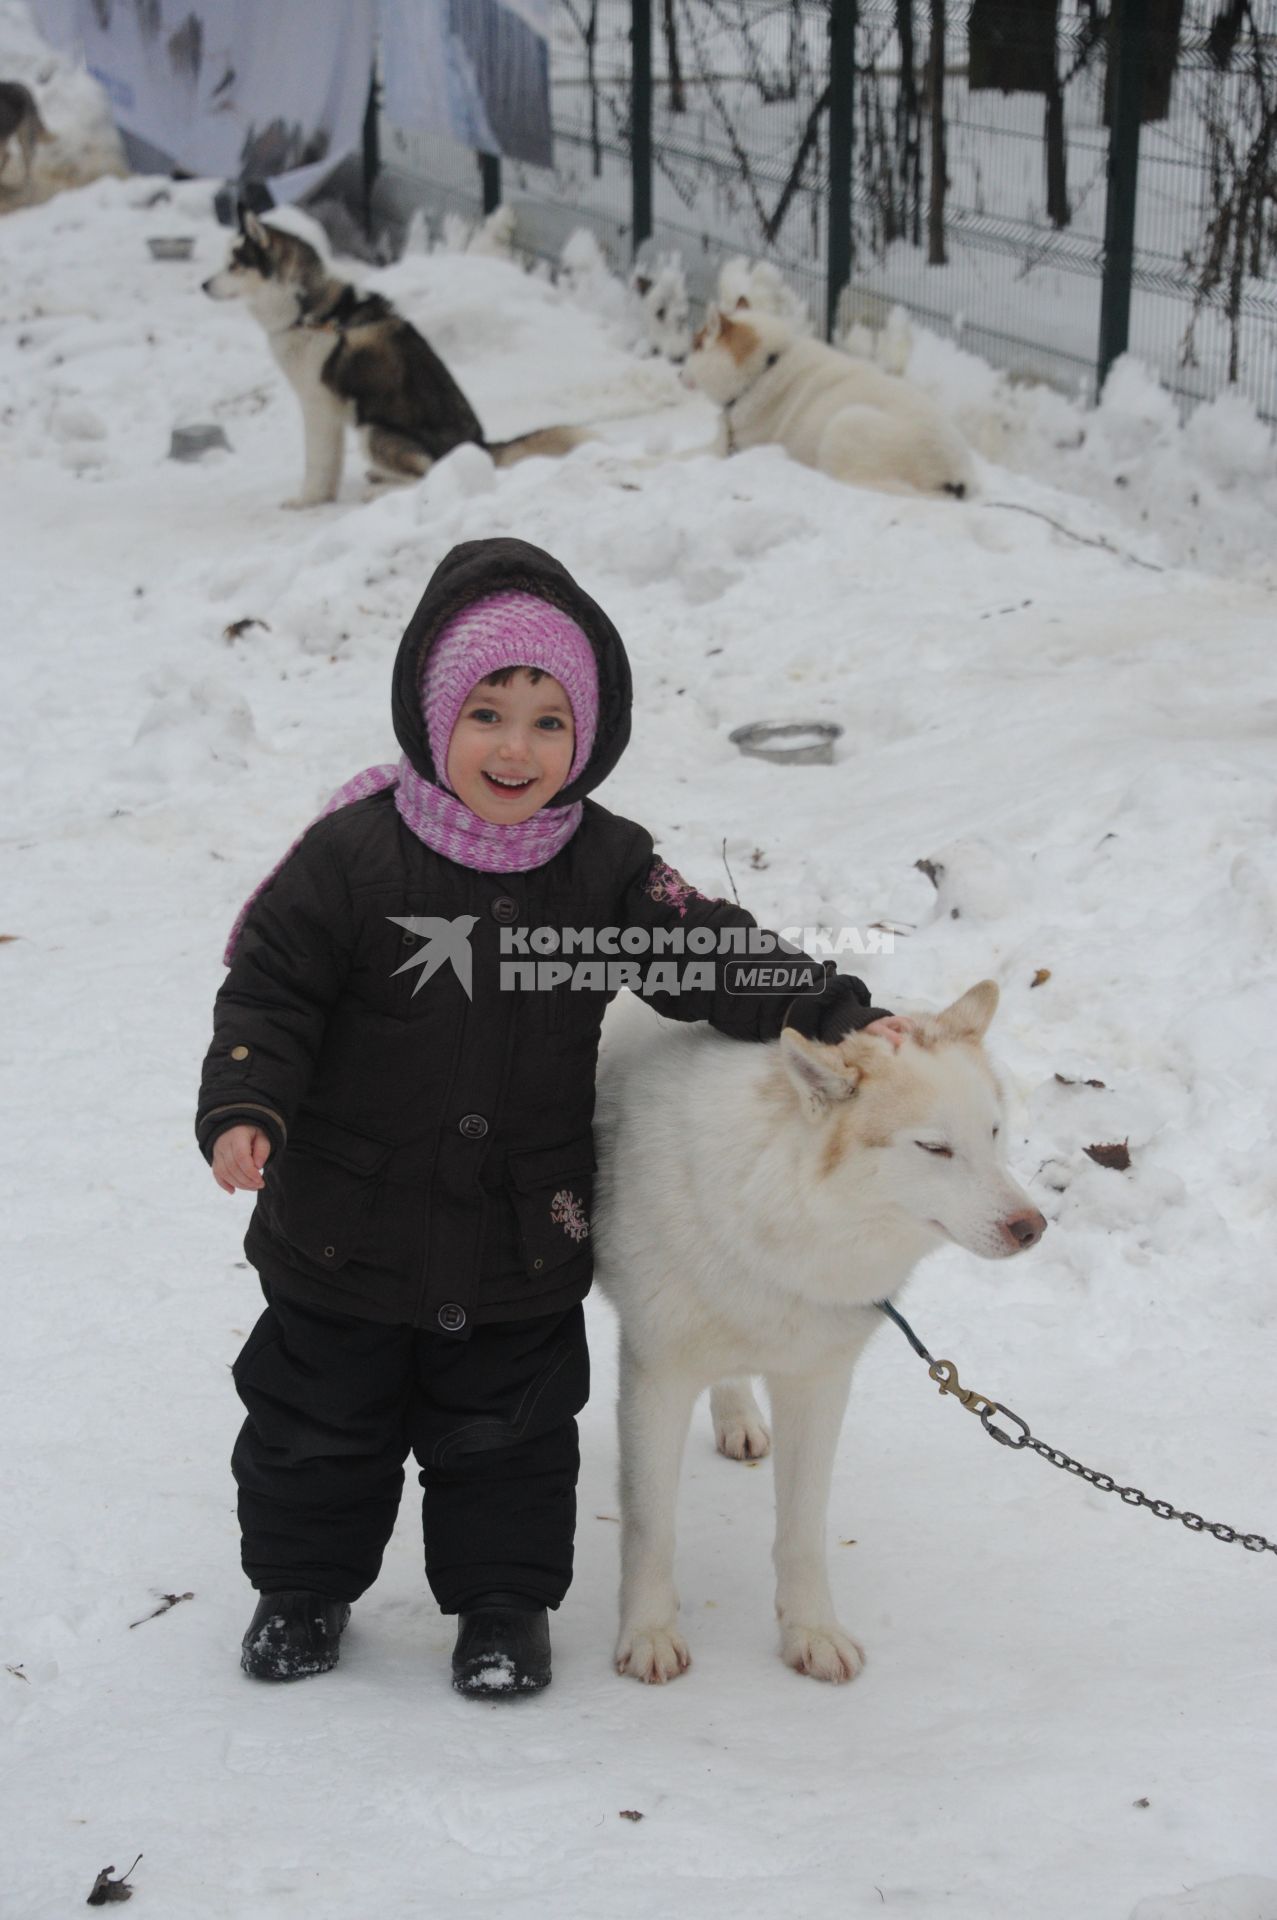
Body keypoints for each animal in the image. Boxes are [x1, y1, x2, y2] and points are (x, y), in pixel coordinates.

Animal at [204, 207, 587, 506]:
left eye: (234, 265)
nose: (203, 285)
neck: (308, 311)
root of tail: (479, 445)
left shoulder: (319, 404)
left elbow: (318, 461)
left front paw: (307, 499)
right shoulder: (332, 410)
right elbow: (330, 461)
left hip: (372, 429)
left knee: (427, 475)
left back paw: (379, 490)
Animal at [591, 983, 1044, 1689]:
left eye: (993, 1133)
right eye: (934, 1148)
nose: (1033, 1227)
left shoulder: (818, 1384)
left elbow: (802, 1533)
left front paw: (812, 1633)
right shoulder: (654, 1376)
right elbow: (649, 1525)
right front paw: (648, 1634)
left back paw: (738, 1418)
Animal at [683, 299, 971, 495]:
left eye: (695, 345)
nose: (678, 371)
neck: (764, 368)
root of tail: (954, 469)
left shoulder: (734, 449)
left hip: (845, 424)